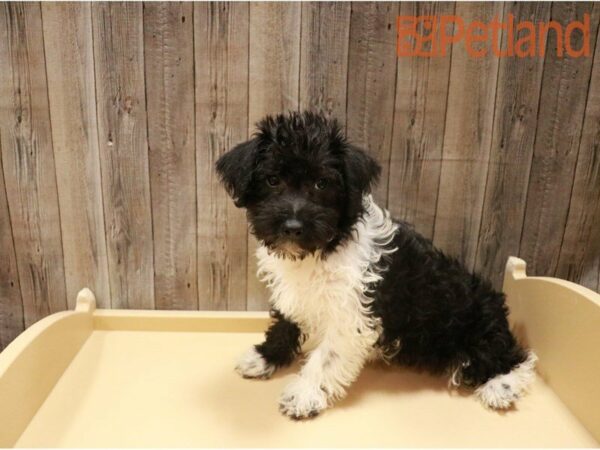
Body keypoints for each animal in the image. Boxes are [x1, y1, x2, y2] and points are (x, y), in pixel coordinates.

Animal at [214, 110, 536, 420]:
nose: (293, 227)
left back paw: (501, 387)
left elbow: (326, 358)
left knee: (516, 358)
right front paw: (263, 357)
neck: (324, 248)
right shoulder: (294, 294)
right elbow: (285, 324)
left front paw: (304, 395)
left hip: (473, 330)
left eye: (321, 182)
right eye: (272, 180)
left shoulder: (351, 314)